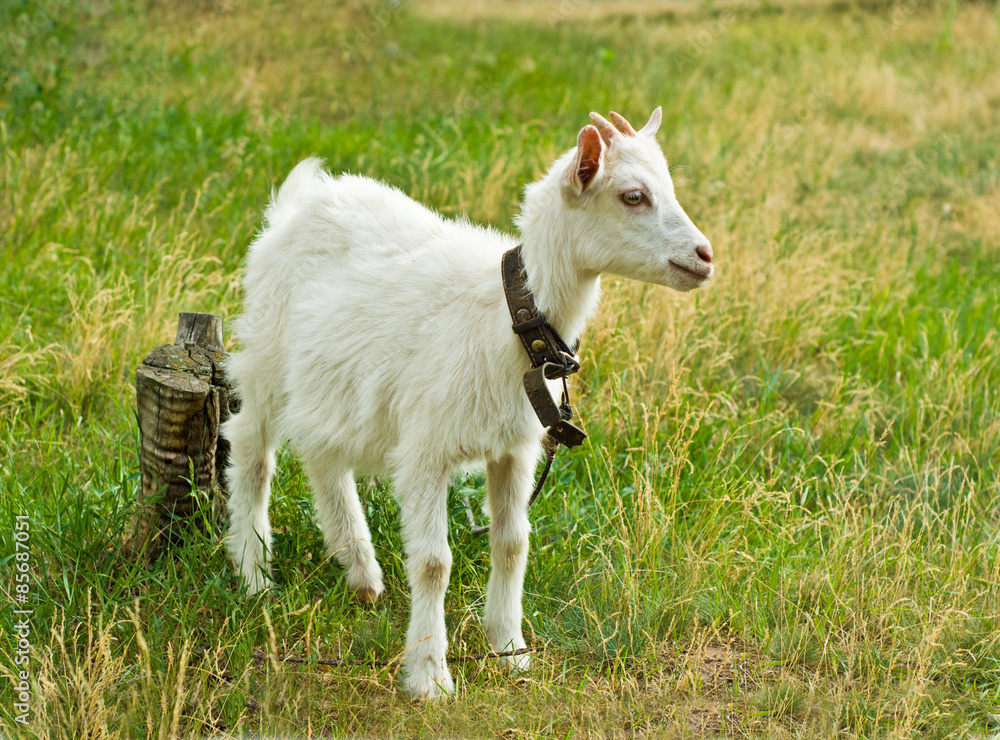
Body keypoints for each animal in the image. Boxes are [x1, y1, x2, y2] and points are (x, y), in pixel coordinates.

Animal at [224, 108, 713, 700]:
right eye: (633, 196)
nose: (705, 257)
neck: (508, 320)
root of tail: (297, 203)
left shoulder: (515, 448)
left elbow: (512, 543)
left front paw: (509, 648)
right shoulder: (426, 448)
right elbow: (434, 562)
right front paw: (430, 676)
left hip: (332, 379)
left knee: (324, 454)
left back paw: (361, 572)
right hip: (268, 355)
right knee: (252, 446)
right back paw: (254, 573)